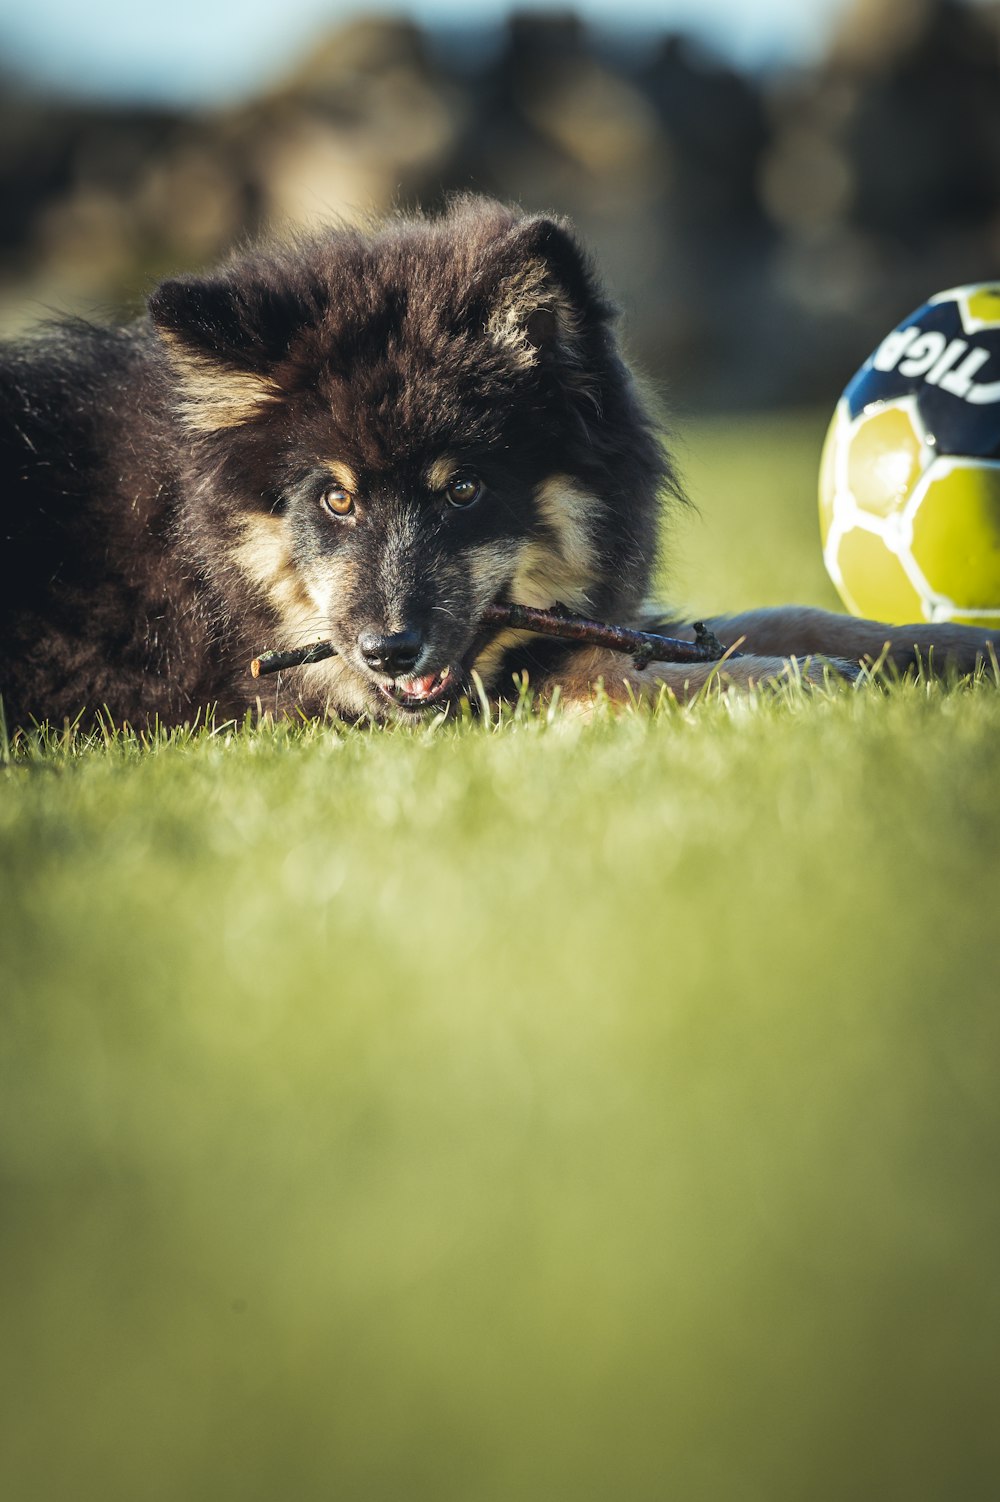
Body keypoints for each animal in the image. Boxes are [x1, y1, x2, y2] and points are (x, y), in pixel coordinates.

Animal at [0, 199, 990, 732]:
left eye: (464, 490)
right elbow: (604, 675)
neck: (200, 564)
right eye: (335, 501)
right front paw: (775, 681)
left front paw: (948, 647)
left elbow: (783, 614)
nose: (388, 651)